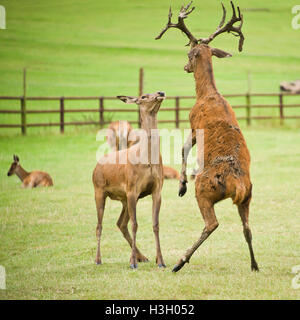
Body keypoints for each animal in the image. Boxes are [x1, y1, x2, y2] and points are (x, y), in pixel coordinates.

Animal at [92, 91, 166, 268]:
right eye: (144, 96)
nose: (161, 93)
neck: (147, 160)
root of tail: (95, 168)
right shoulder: (132, 189)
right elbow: (135, 224)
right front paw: (132, 263)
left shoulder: (157, 189)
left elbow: (155, 225)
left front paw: (160, 261)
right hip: (99, 190)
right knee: (99, 225)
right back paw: (98, 259)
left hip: (124, 198)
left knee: (120, 223)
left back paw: (142, 256)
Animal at [156, 1, 258, 272]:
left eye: (188, 54)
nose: (185, 66)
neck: (206, 94)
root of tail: (238, 186)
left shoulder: (193, 124)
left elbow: (182, 148)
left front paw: (181, 185)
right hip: (248, 197)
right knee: (247, 228)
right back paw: (255, 265)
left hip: (205, 190)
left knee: (212, 223)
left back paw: (180, 262)